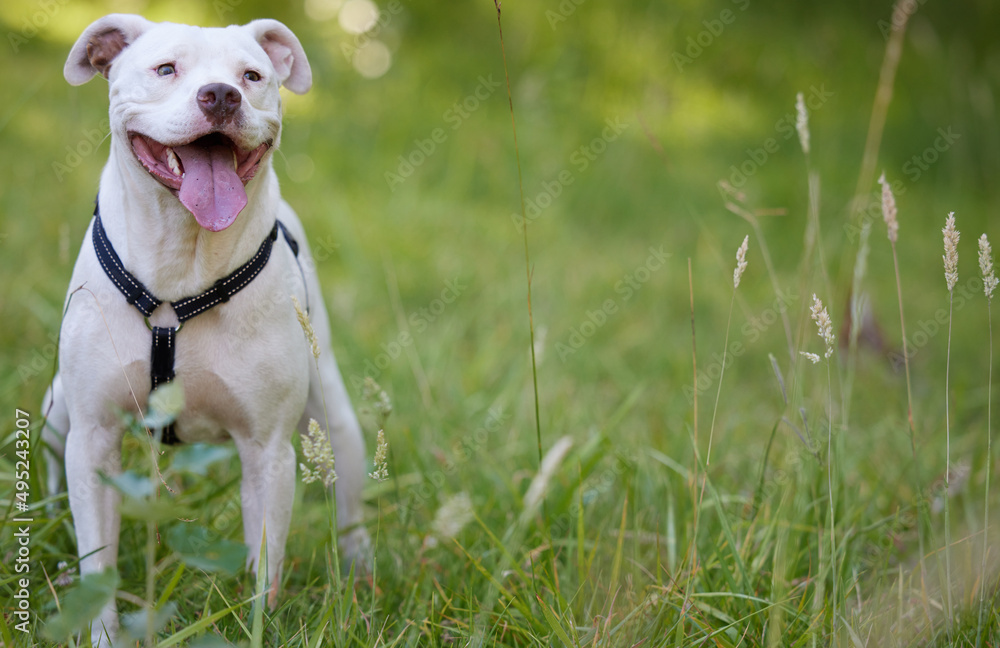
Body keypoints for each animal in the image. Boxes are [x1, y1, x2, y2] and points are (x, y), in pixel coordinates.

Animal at [44, 15, 368, 648]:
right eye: (166, 68)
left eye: (252, 76)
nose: (221, 95)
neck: (183, 260)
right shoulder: (92, 436)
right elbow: (100, 561)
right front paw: (100, 630)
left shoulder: (268, 452)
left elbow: (264, 566)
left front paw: (257, 626)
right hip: (56, 409)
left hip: (333, 415)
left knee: (348, 481)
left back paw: (360, 569)